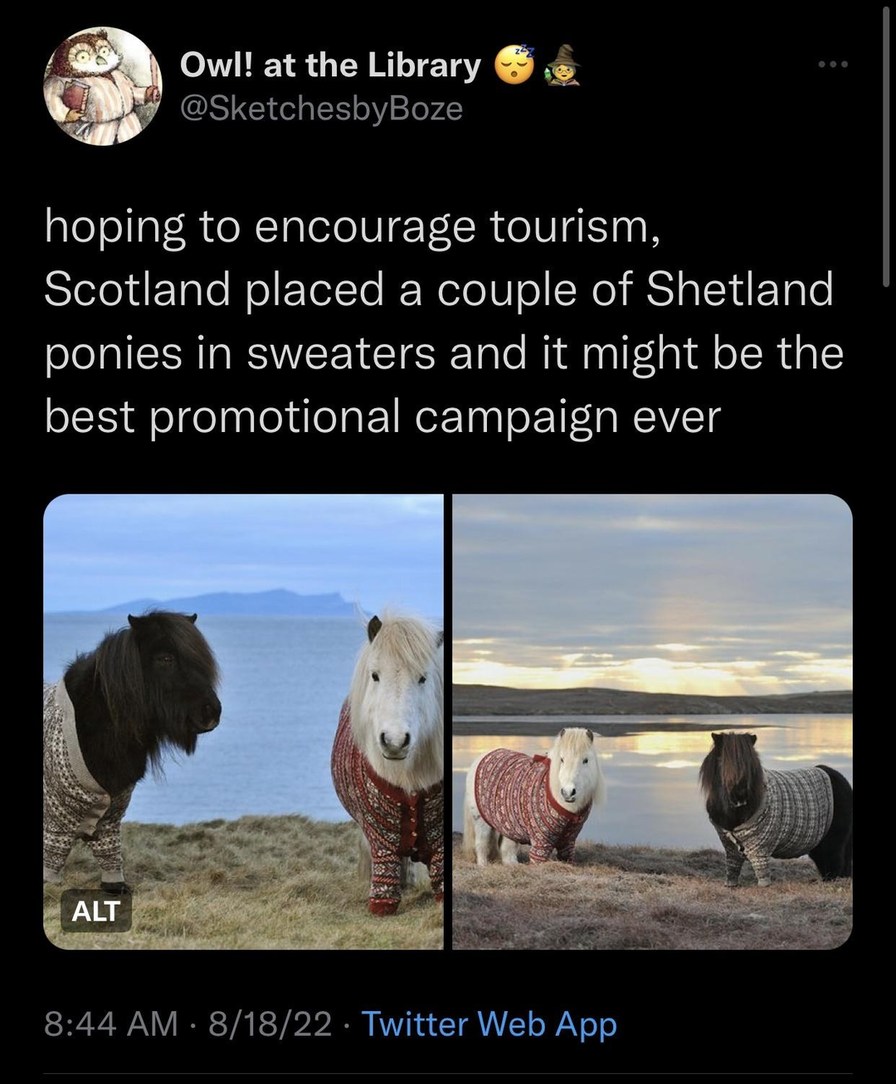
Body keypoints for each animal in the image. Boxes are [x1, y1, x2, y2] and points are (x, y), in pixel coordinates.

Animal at [43, 611, 222, 892]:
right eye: (166, 658)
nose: (211, 713)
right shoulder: (57, 816)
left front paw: (115, 885)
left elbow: (109, 852)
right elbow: (54, 853)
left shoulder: (112, 812)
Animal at [463, 727, 605, 866]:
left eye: (585, 760)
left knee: (507, 850)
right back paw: (483, 866)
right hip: (481, 821)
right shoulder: (540, 842)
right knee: (482, 844)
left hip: (509, 825)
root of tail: (482, 757)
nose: (568, 792)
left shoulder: (568, 841)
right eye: (562, 759)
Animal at [699, 731, 853, 887]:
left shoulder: (760, 850)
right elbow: (732, 869)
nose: (740, 793)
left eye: (750, 763)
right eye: (723, 761)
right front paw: (731, 885)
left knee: (835, 862)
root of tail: (841, 780)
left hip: (833, 840)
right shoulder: (731, 849)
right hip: (819, 842)